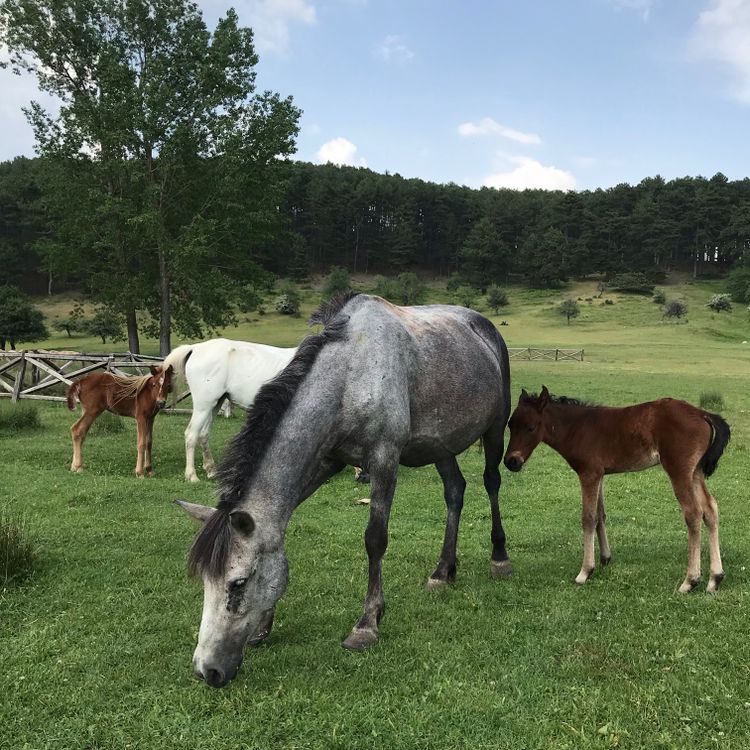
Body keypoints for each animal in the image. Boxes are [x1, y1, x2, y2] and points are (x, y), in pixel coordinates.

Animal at [161, 339, 297, 482]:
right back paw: (192, 476)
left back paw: (211, 471)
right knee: (191, 435)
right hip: (203, 406)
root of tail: (195, 348)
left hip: (215, 404)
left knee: (203, 434)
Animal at [175, 292, 512, 688]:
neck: (351, 377)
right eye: (205, 583)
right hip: (441, 445)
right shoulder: (325, 461)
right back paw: (442, 572)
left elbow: (375, 540)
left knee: (491, 483)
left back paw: (500, 558)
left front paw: (367, 624)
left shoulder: (384, 460)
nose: (207, 670)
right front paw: (263, 626)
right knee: (455, 492)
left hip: (495, 428)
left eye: (238, 584)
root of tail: (483, 326)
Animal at [503, 386, 731, 594]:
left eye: (531, 427)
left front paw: (585, 571)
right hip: (695, 472)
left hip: (679, 471)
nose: (511, 462)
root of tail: (702, 413)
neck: (577, 428)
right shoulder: (600, 475)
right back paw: (715, 579)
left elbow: (588, 518)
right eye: (510, 425)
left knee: (693, 513)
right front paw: (605, 558)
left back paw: (690, 581)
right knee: (710, 509)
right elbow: (600, 515)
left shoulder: (588, 474)